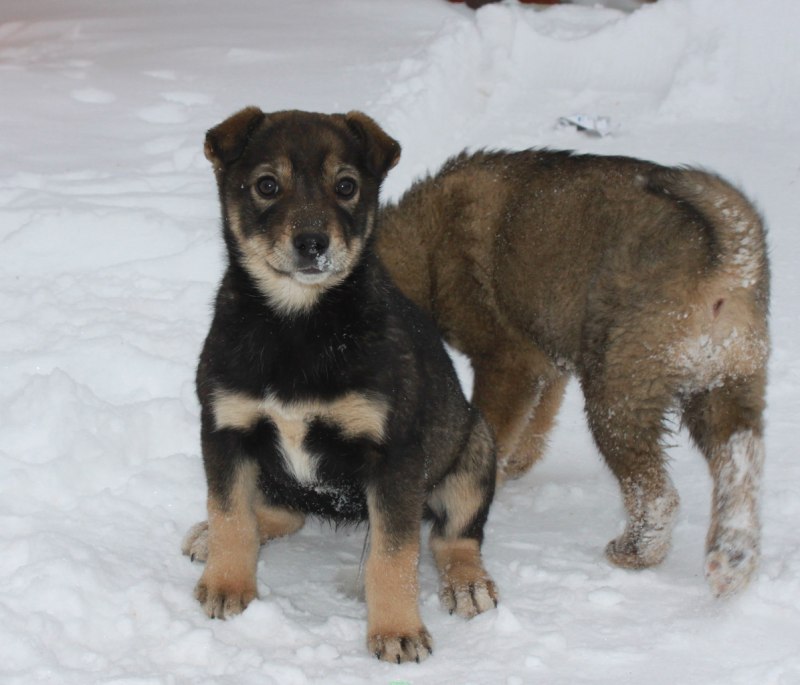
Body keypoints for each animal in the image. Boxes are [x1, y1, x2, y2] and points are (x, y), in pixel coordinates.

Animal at [184, 108, 500, 664]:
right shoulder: (224, 429)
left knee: (453, 537)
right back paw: (211, 539)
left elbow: (393, 556)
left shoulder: (395, 456)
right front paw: (227, 585)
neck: (299, 326)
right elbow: (230, 515)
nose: (313, 244)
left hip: (476, 447)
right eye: (267, 185)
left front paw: (397, 632)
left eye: (346, 186)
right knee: (277, 513)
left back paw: (467, 584)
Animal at [378, 147, 772, 596]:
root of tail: (731, 258)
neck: (427, 242)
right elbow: (535, 426)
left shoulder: (508, 361)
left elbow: (493, 425)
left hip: (618, 392)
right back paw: (732, 559)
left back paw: (637, 551)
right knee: (739, 457)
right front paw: (512, 466)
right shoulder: (545, 363)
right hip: (724, 384)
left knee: (656, 494)